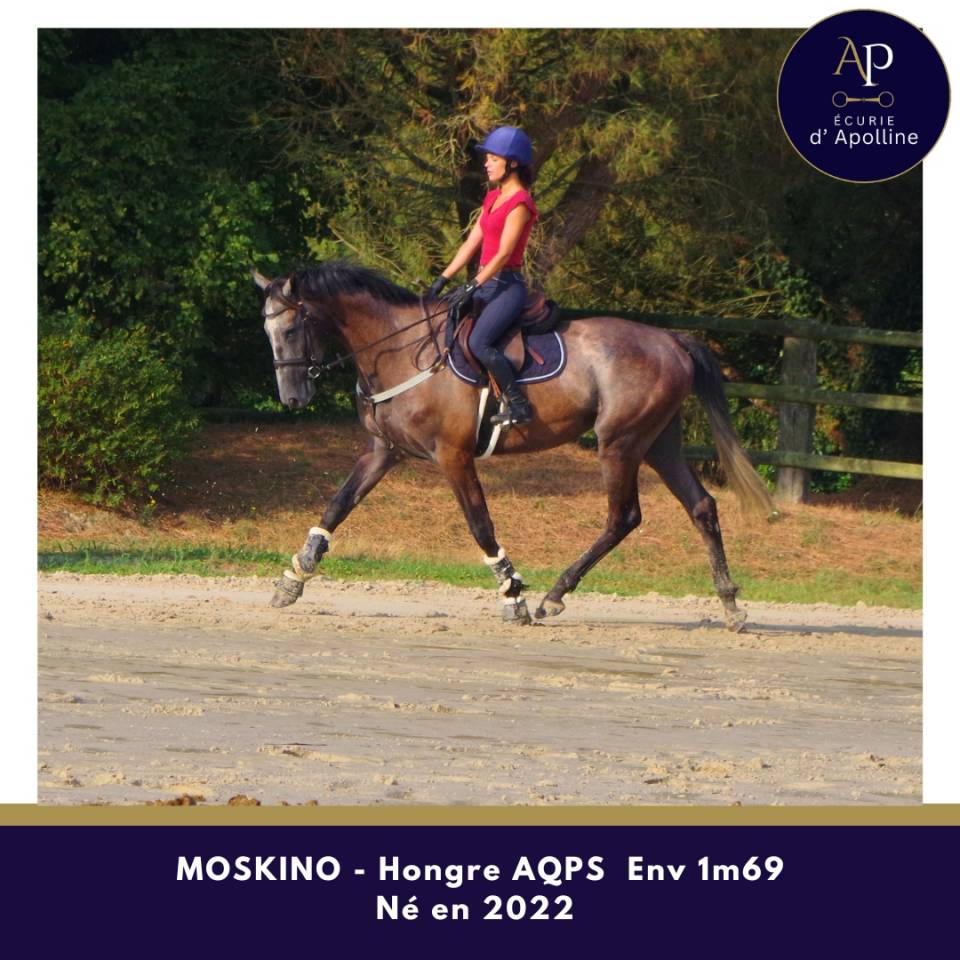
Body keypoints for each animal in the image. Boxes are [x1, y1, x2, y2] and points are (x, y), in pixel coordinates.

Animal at [252, 261, 776, 630]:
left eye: (292, 329)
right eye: (268, 332)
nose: (293, 398)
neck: (397, 349)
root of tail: (669, 339)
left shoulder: (454, 456)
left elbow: (480, 524)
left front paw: (513, 594)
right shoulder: (383, 451)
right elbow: (337, 506)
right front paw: (293, 579)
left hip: (620, 443)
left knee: (623, 516)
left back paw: (553, 596)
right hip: (658, 442)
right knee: (701, 506)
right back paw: (731, 605)